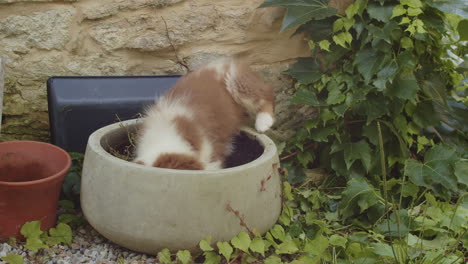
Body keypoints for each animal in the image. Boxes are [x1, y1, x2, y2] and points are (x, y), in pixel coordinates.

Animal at [133, 57, 274, 169]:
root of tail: (231, 60)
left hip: (237, 81)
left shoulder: (211, 150)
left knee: (266, 95)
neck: (167, 132)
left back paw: (263, 122)